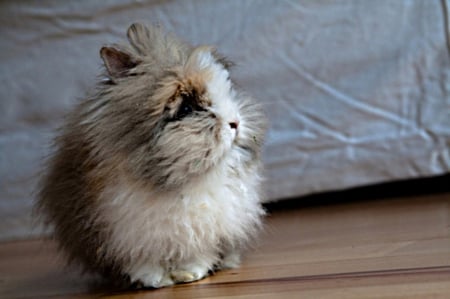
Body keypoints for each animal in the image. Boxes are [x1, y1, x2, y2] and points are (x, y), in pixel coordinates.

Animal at [37, 22, 268, 290]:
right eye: (187, 108)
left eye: (229, 90)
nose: (236, 122)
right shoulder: (127, 236)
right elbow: (144, 262)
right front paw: (154, 281)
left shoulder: (206, 229)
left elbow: (197, 254)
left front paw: (188, 274)